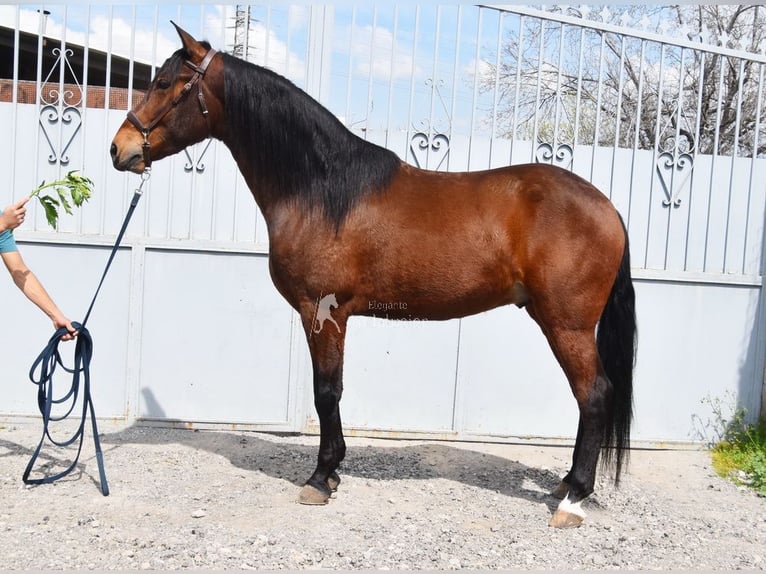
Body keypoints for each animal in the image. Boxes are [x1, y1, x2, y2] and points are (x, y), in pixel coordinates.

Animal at [110, 24, 636, 529]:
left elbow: (326, 392)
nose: (120, 149)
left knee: (594, 395)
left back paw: (573, 499)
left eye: (163, 83)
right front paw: (332, 472)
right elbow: (331, 391)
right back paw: (566, 484)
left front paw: (321, 477)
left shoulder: (323, 312)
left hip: (566, 325)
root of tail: (608, 207)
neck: (321, 189)